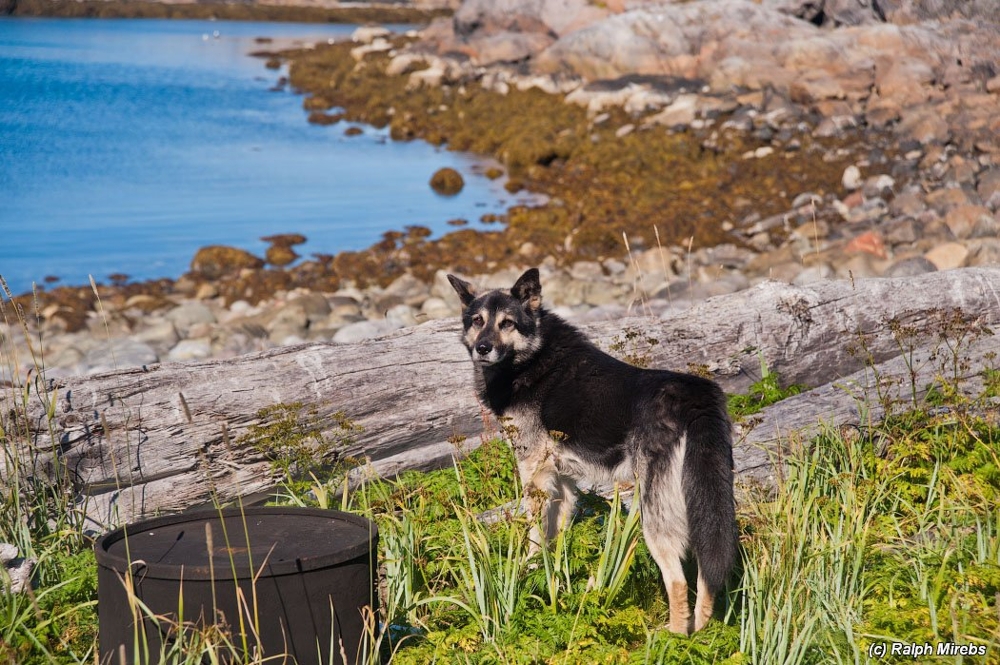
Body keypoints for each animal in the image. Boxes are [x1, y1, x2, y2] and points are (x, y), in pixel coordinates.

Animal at [450, 266, 740, 632]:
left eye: (507, 323)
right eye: (477, 320)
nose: (483, 348)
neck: (532, 357)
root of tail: (695, 397)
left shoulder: (534, 473)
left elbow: (533, 538)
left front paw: (525, 575)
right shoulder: (562, 484)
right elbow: (555, 540)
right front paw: (552, 581)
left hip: (655, 512)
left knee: (676, 579)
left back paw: (673, 636)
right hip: (704, 502)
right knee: (707, 572)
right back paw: (701, 632)